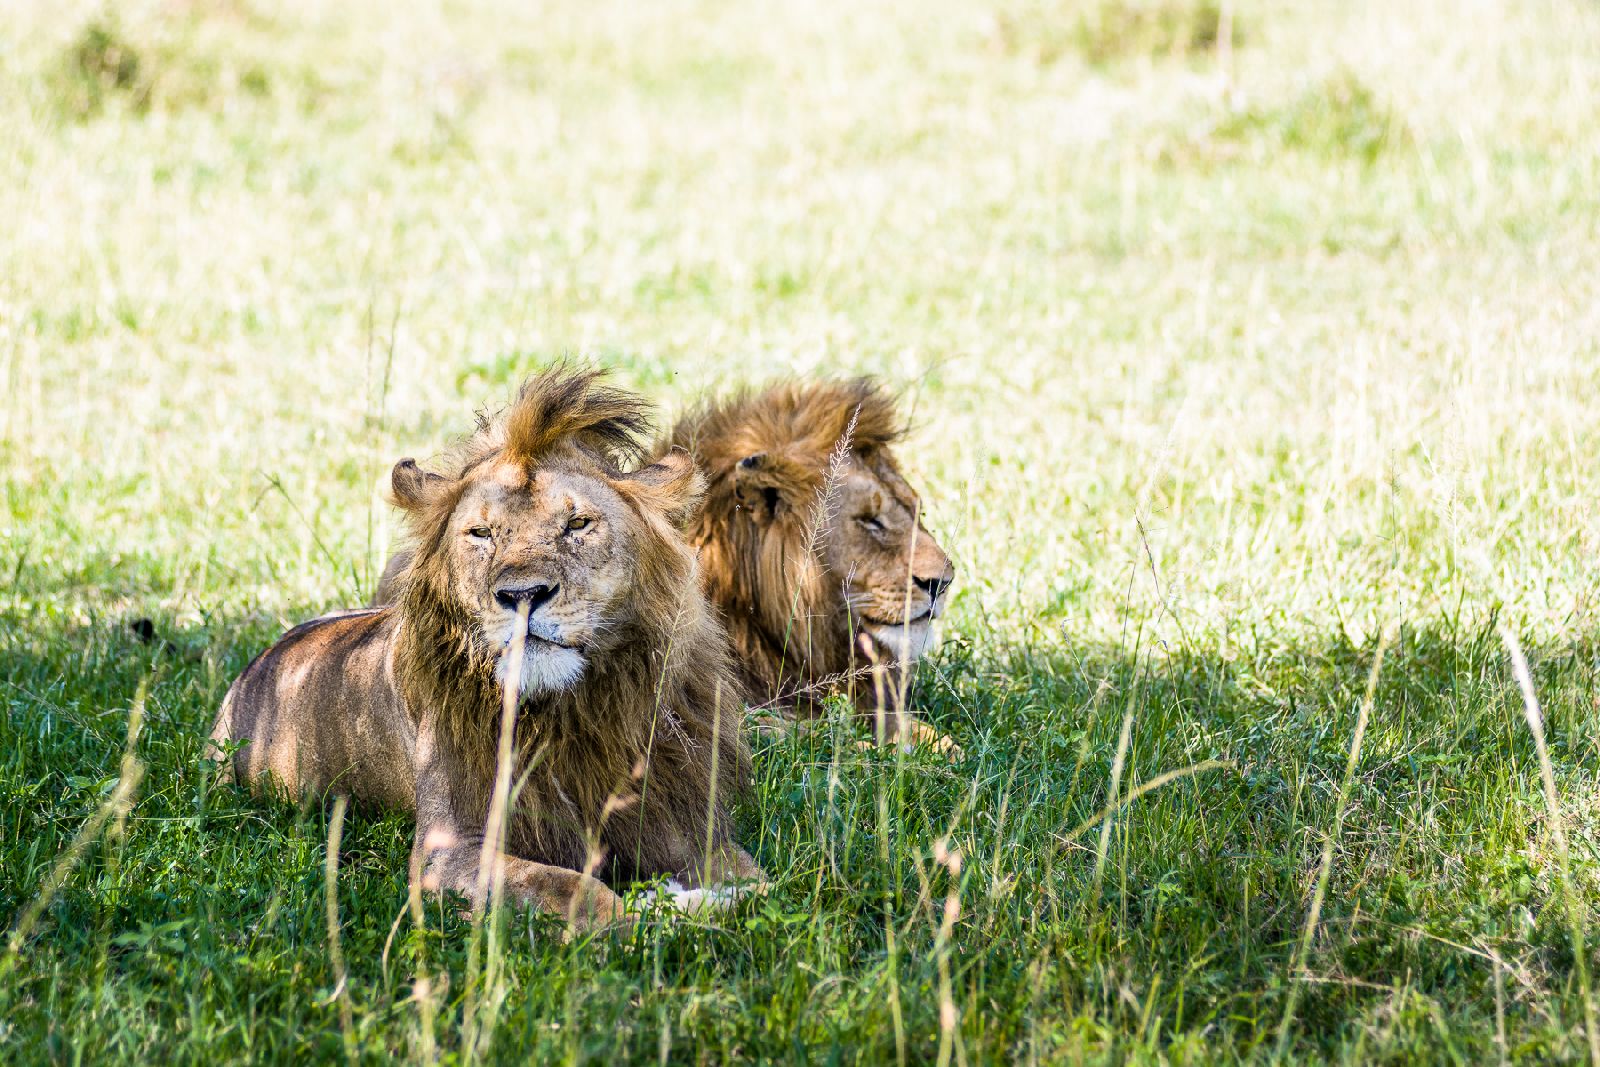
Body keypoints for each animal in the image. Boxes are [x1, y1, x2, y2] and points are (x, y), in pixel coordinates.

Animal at [210, 367, 764, 931]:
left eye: (577, 524)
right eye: (481, 533)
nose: (523, 595)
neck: (571, 713)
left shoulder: (679, 823)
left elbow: (757, 879)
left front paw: (714, 902)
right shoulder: (447, 850)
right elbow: (573, 888)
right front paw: (643, 918)